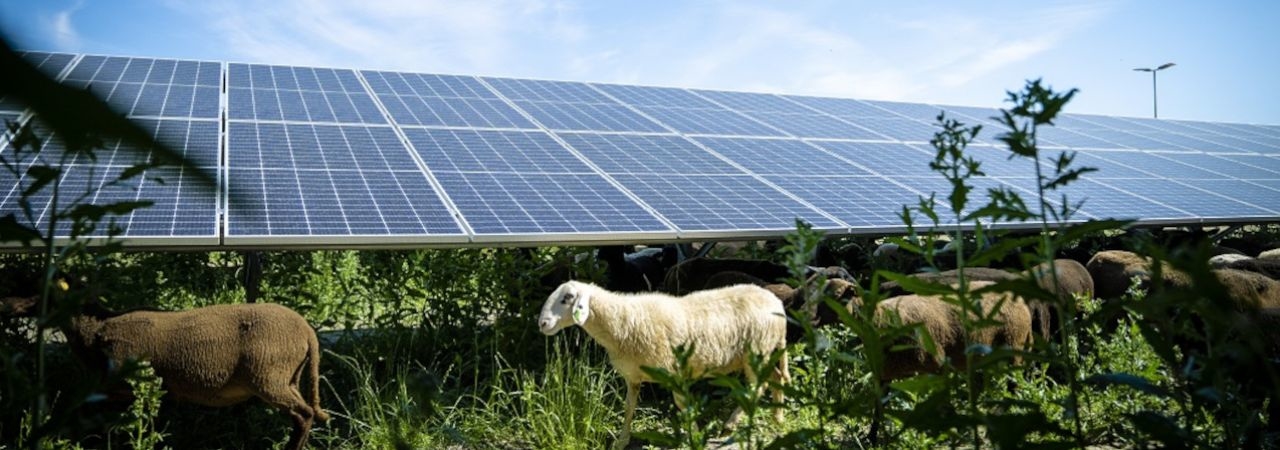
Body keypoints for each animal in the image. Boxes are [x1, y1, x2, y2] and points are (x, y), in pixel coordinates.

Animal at [2, 295, 330, 450]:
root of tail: (307, 331)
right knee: (304, 414)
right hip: (289, 377)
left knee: (304, 414)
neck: (95, 332)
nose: (7, 305)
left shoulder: (131, 385)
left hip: (269, 377)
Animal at [532, 279, 788, 447]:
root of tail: (776, 302)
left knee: (757, 387)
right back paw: (778, 418)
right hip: (760, 353)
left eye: (567, 298)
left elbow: (683, 405)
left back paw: (732, 423)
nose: (542, 324)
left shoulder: (673, 372)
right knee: (776, 378)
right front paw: (622, 440)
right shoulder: (633, 376)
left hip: (756, 351)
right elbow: (629, 407)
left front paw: (695, 435)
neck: (621, 322)